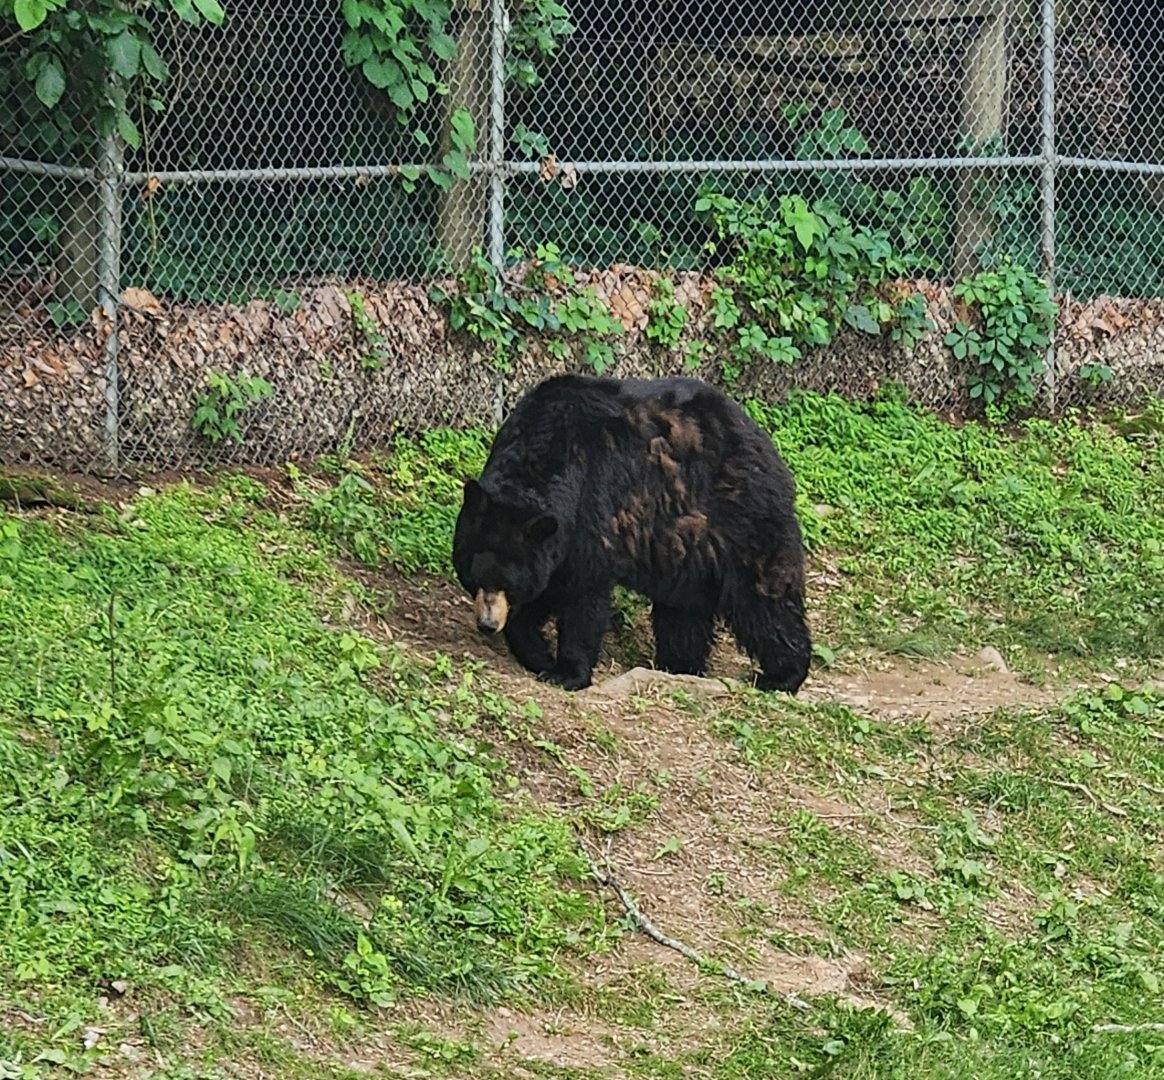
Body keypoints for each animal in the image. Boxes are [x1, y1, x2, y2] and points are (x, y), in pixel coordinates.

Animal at [451, 373, 812, 693]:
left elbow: (584, 594)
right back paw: (678, 665)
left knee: (762, 596)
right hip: (684, 544)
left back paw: (782, 675)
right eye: (474, 576)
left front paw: (567, 672)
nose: (486, 625)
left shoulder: (592, 505)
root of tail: (763, 440)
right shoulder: (552, 542)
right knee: (683, 608)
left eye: (509, 584)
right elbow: (548, 587)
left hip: (740, 516)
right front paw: (538, 652)